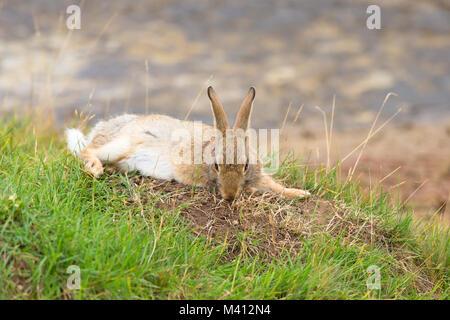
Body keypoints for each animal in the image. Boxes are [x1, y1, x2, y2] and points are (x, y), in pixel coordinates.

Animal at [66, 86, 310, 201]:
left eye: (245, 165)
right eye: (216, 166)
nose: (229, 196)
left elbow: (275, 186)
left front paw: (300, 193)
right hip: (122, 144)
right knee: (87, 151)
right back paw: (95, 169)